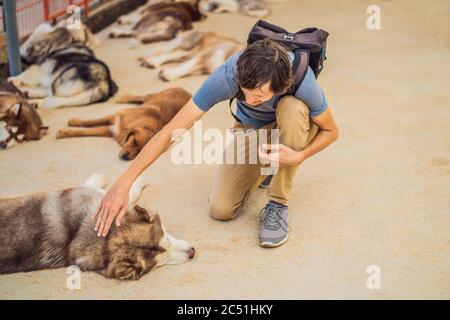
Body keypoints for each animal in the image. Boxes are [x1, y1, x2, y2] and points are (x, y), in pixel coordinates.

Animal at [55, 87, 190, 160]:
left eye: (140, 152)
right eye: (134, 141)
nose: (125, 157)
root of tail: (189, 93)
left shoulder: (110, 130)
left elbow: (86, 131)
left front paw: (65, 132)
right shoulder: (114, 118)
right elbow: (90, 122)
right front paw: (73, 123)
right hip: (153, 96)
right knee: (140, 97)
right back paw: (123, 98)